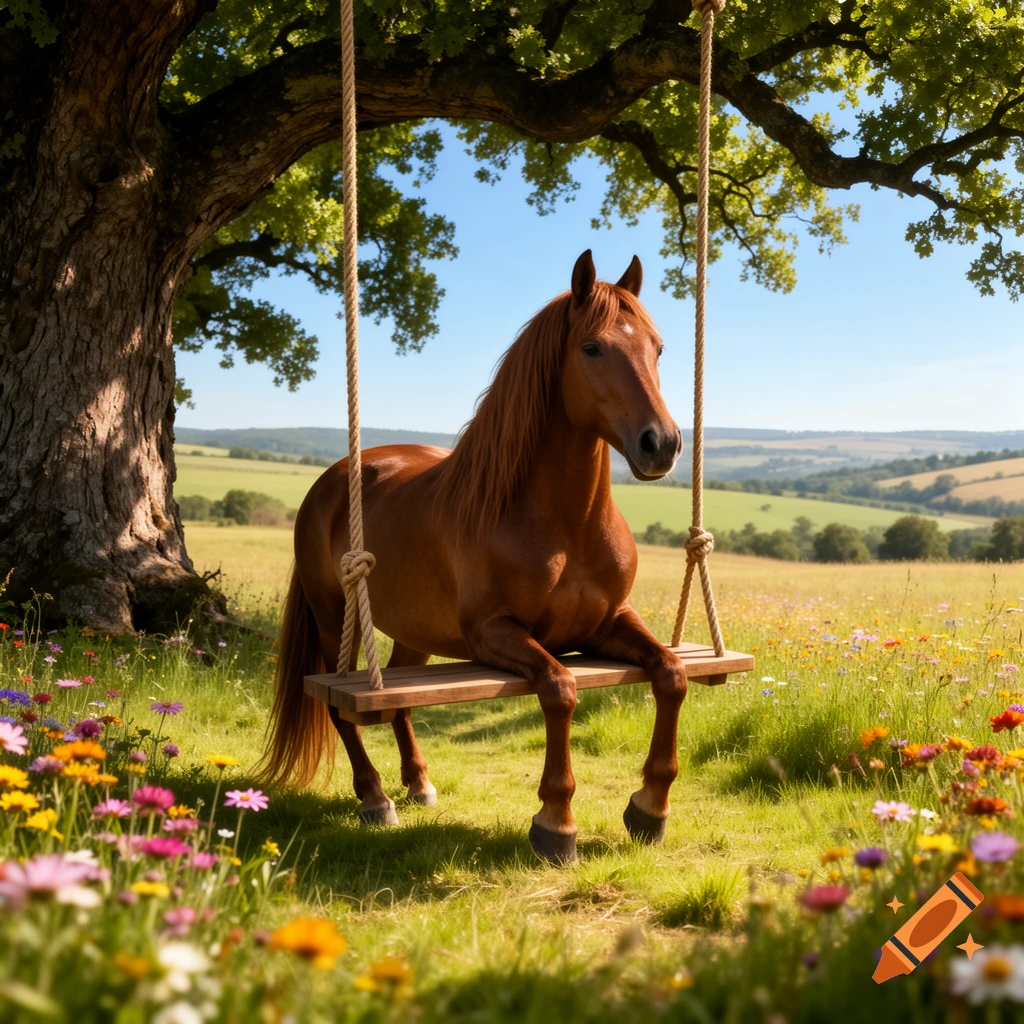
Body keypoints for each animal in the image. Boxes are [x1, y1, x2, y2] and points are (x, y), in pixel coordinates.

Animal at [260, 250, 687, 864]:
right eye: (592, 348)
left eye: (657, 347)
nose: (664, 444)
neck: (564, 524)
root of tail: (332, 480)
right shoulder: (493, 632)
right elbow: (560, 689)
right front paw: (556, 822)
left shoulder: (608, 624)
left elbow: (671, 674)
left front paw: (650, 807)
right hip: (330, 618)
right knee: (341, 708)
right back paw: (374, 798)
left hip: (413, 633)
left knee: (400, 703)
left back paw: (418, 782)